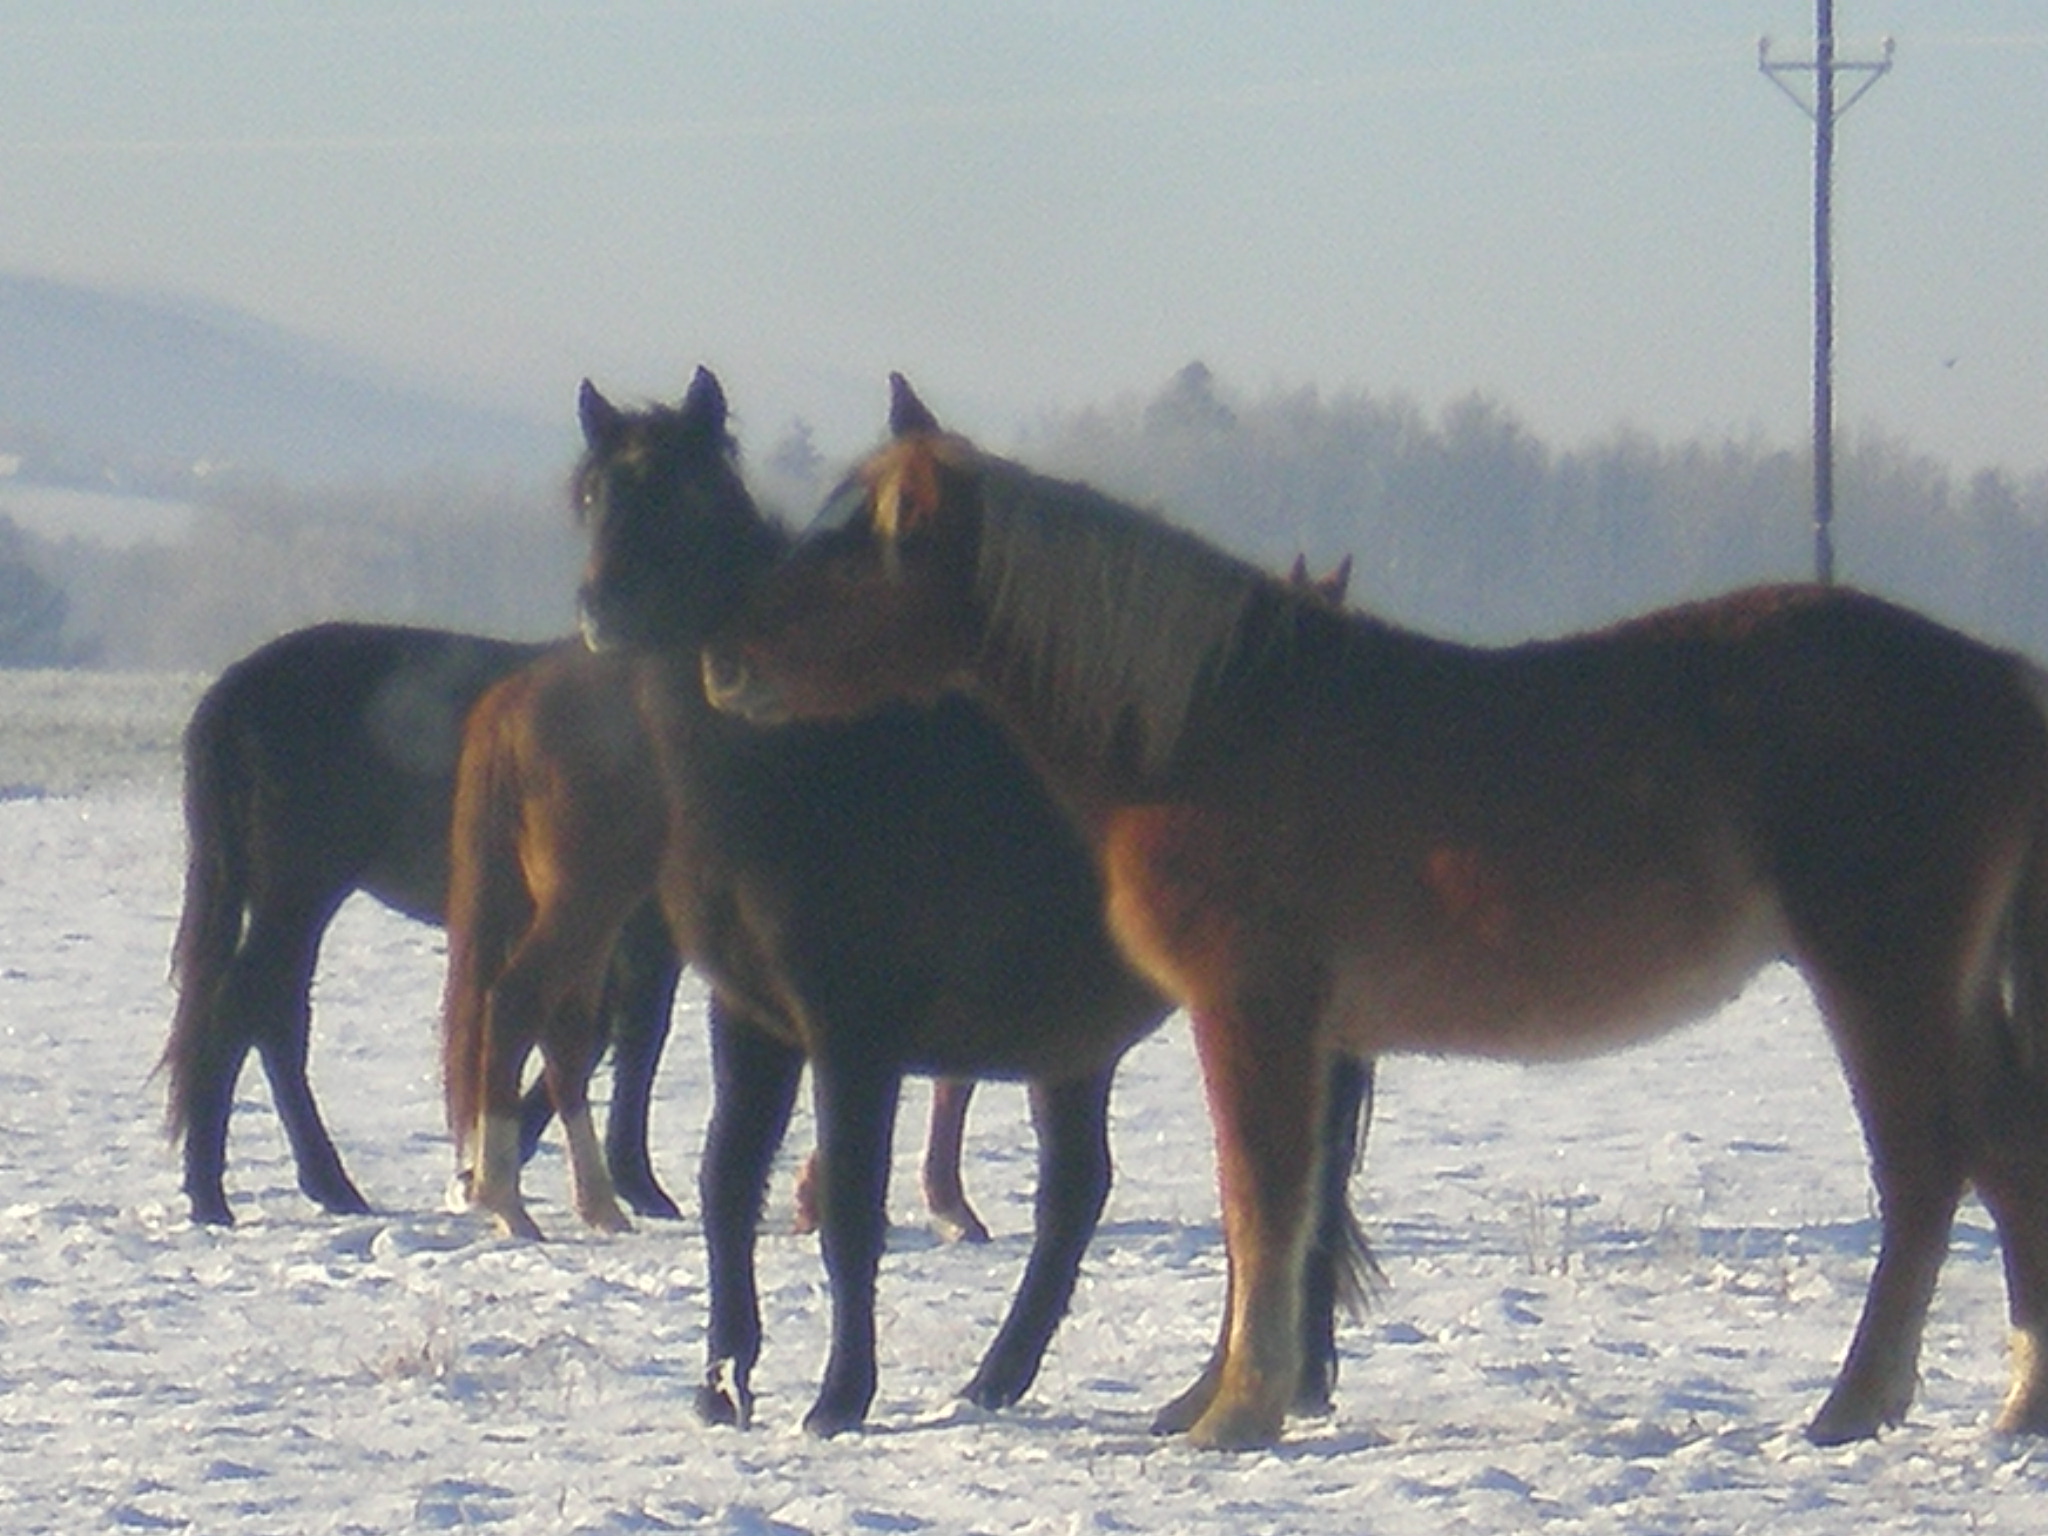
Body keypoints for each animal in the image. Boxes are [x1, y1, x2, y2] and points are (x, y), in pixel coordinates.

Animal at [163, 618, 679, 1236]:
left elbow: (606, 1031)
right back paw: (214, 1192)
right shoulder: (639, 928)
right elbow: (634, 1036)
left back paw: (320, 1185)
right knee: (248, 1008)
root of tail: (238, 688)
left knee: (270, 1014)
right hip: (300, 886)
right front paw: (627, 1183)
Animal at [557, 366, 1376, 1441]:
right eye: (592, 494)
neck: (805, 763)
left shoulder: (854, 1030)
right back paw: (1015, 1378)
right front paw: (724, 1384)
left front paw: (839, 1397)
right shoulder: (754, 1017)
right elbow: (727, 1183)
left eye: (686, 493)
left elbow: (851, 1208)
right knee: (1088, 1193)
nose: (601, 609)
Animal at [700, 376, 2048, 1458]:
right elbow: (1267, 1213)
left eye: (862, 548)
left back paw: (1855, 1405)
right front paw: (1210, 1401)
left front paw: (1234, 1413)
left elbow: (1263, 1203)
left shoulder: (1254, 1006)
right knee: (2002, 1153)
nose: (723, 663)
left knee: (1926, 1169)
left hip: (1876, 973)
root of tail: (2001, 680)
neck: (1213, 723)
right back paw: (2016, 1403)